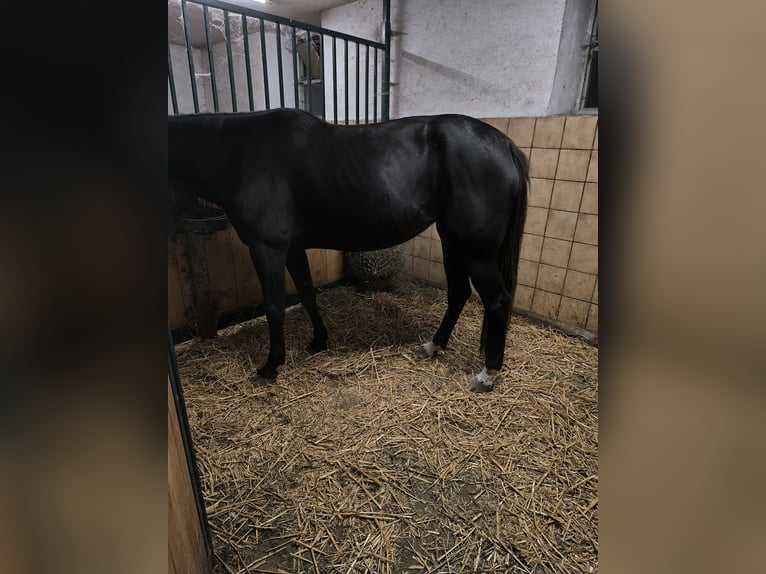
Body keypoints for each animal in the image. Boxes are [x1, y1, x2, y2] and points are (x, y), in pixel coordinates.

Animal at [168, 108, 528, 392]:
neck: (241, 151)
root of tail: (505, 145)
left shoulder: (267, 248)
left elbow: (274, 307)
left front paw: (271, 366)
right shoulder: (293, 248)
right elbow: (306, 292)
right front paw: (318, 340)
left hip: (477, 251)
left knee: (497, 301)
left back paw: (487, 374)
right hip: (452, 240)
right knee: (458, 293)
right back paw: (433, 346)